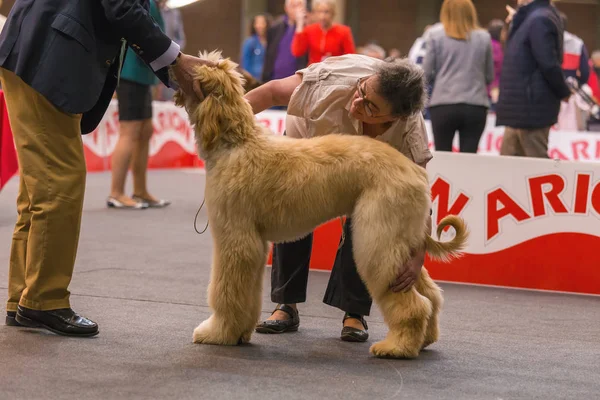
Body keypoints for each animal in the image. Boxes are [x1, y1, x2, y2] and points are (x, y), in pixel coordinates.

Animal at [173, 50, 468, 360]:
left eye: (196, 72)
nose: (172, 67)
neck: (236, 142)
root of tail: (417, 173)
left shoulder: (236, 239)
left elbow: (226, 289)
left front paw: (219, 332)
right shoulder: (253, 245)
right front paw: (240, 331)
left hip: (377, 235)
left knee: (415, 303)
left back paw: (397, 347)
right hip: (401, 239)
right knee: (430, 294)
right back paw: (424, 340)